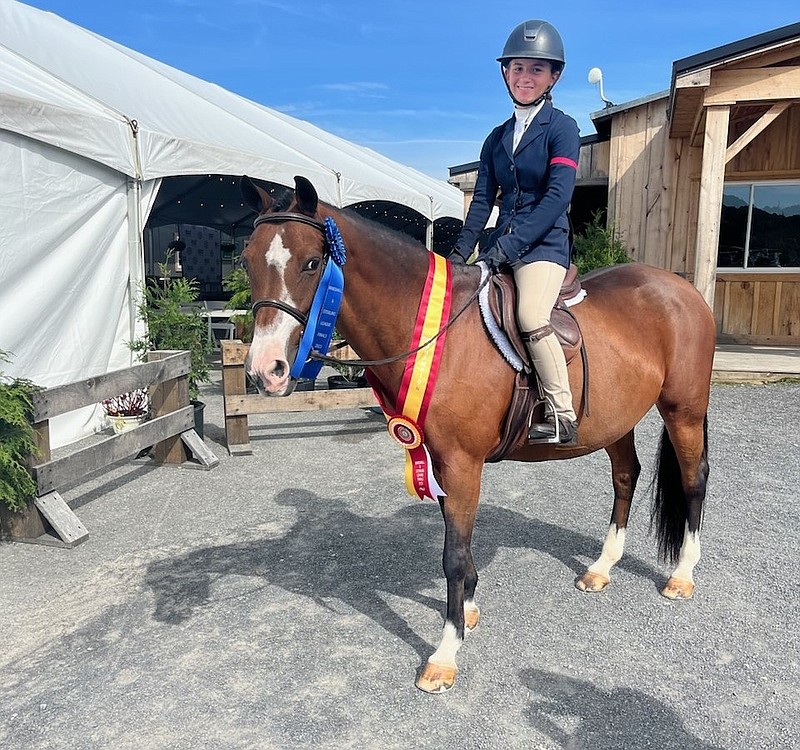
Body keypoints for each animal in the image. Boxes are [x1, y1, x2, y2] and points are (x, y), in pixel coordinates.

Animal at [241, 175, 716, 692]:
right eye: (246, 260)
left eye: (311, 263)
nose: (265, 371)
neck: (435, 332)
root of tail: (681, 288)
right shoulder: (438, 460)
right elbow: (459, 545)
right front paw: (467, 611)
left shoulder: (462, 461)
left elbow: (452, 553)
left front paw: (445, 654)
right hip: (617, 420)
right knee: (626, 476)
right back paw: (602, 567)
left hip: (684, 411)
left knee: (693, 479)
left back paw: (683, 575)